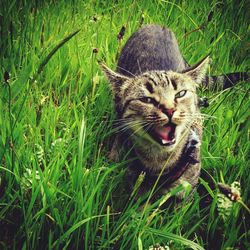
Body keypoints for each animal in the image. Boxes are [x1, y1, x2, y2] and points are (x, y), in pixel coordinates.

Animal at [100, 23, 249, 203]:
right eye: (146, 99)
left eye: (181, 94)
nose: (169, 109)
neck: (160, 164)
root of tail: (156, 24)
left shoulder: (186, 194)